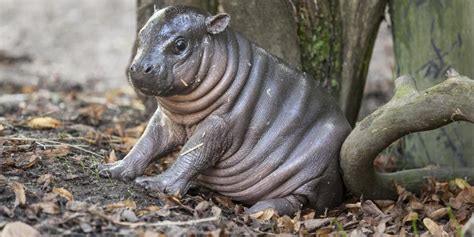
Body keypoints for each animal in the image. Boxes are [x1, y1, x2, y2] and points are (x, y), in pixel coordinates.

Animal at [99, 4, 352, 216]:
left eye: (180, 44)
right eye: (141, 34)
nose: (140, 67)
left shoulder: (220, 124)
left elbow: (193, 153)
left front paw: (152, 184)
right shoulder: (166, 119)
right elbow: (146, 143)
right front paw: (111, 169)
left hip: (317, 175)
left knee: (298, 201)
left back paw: (257, 212)